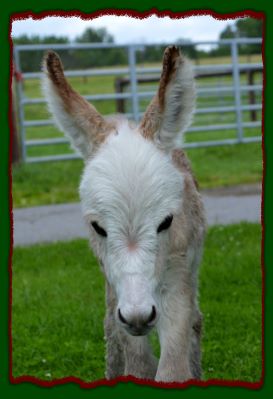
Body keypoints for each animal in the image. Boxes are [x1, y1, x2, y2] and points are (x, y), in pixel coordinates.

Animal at [42, 45, 204, 382]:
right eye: (97, 227)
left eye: (167, 222)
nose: (139, 317)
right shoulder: (116, 285)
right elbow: (136, 361)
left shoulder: (177, 273)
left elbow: (172, 366)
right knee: (111, 329)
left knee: (195, 321)